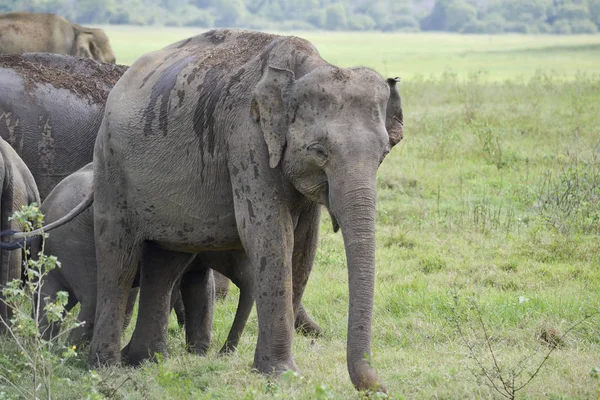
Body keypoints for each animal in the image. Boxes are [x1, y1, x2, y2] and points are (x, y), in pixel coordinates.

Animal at [85, 28, 404, 390]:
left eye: (383, 153)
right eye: (319, 151)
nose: (380, 387)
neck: (305, 67)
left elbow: (306, 247)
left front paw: (277, 371)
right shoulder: (246, 140)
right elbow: (270, 235)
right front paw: (282, 374)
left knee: (165, 263)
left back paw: (144, 360)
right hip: (110, 167)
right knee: (118, 258)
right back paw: (106, 366)